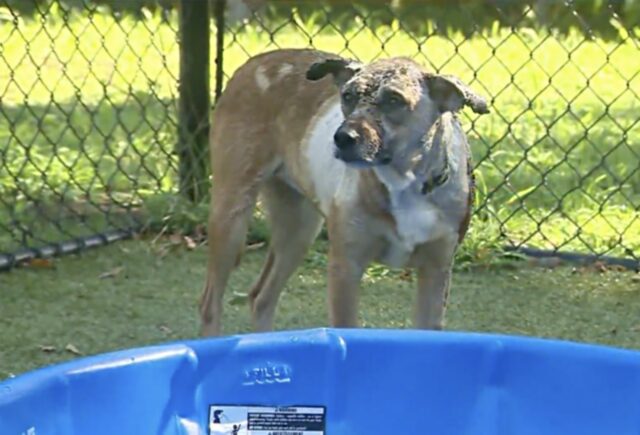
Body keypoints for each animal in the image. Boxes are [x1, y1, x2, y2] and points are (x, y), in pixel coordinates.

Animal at [200, 49, 490, 338]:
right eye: (347, 96)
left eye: (394, 100)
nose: (342, 137)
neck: (404, 184)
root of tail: (252, 63)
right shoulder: (346, 267)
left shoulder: (436, 272)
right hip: (231, 217)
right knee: (210, 302)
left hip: (298, 231)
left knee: (261, 297)